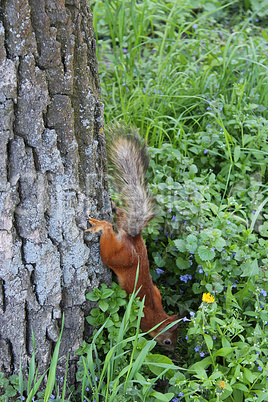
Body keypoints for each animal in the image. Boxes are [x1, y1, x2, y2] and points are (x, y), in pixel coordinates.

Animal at [86, 129, 178, 348]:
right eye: (168, 342)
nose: (171, 351)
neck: (157, 316)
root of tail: (132, 239)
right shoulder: (141, 319)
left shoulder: (156, 294)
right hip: (117, 256)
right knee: (109, 236)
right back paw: (102, 226)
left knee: (120, 216)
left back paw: (113, 207)